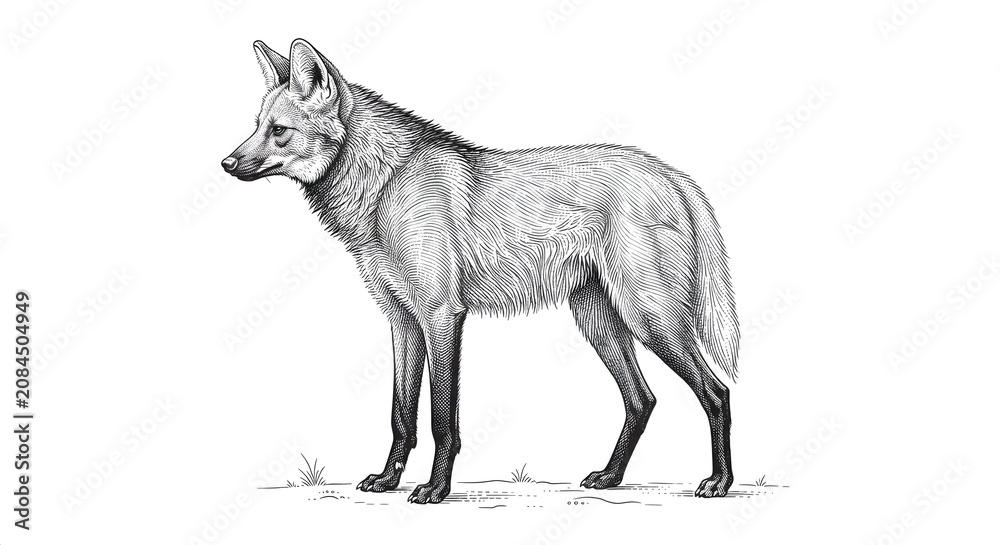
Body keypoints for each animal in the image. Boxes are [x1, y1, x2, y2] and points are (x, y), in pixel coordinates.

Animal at [222, 39, 740, 504]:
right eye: (257, 127)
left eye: (279, 130)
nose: (226, 162)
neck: (384, 186)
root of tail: (673, 175)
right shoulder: (403, 321)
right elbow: (401, 415)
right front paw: (388, 481)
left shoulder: (441, 317)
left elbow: (441, 419)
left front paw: (435, 489)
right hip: (600, 322)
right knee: (642, 399)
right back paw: (610, 477)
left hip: (651, 320)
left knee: (716, 393)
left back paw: (719, 482)